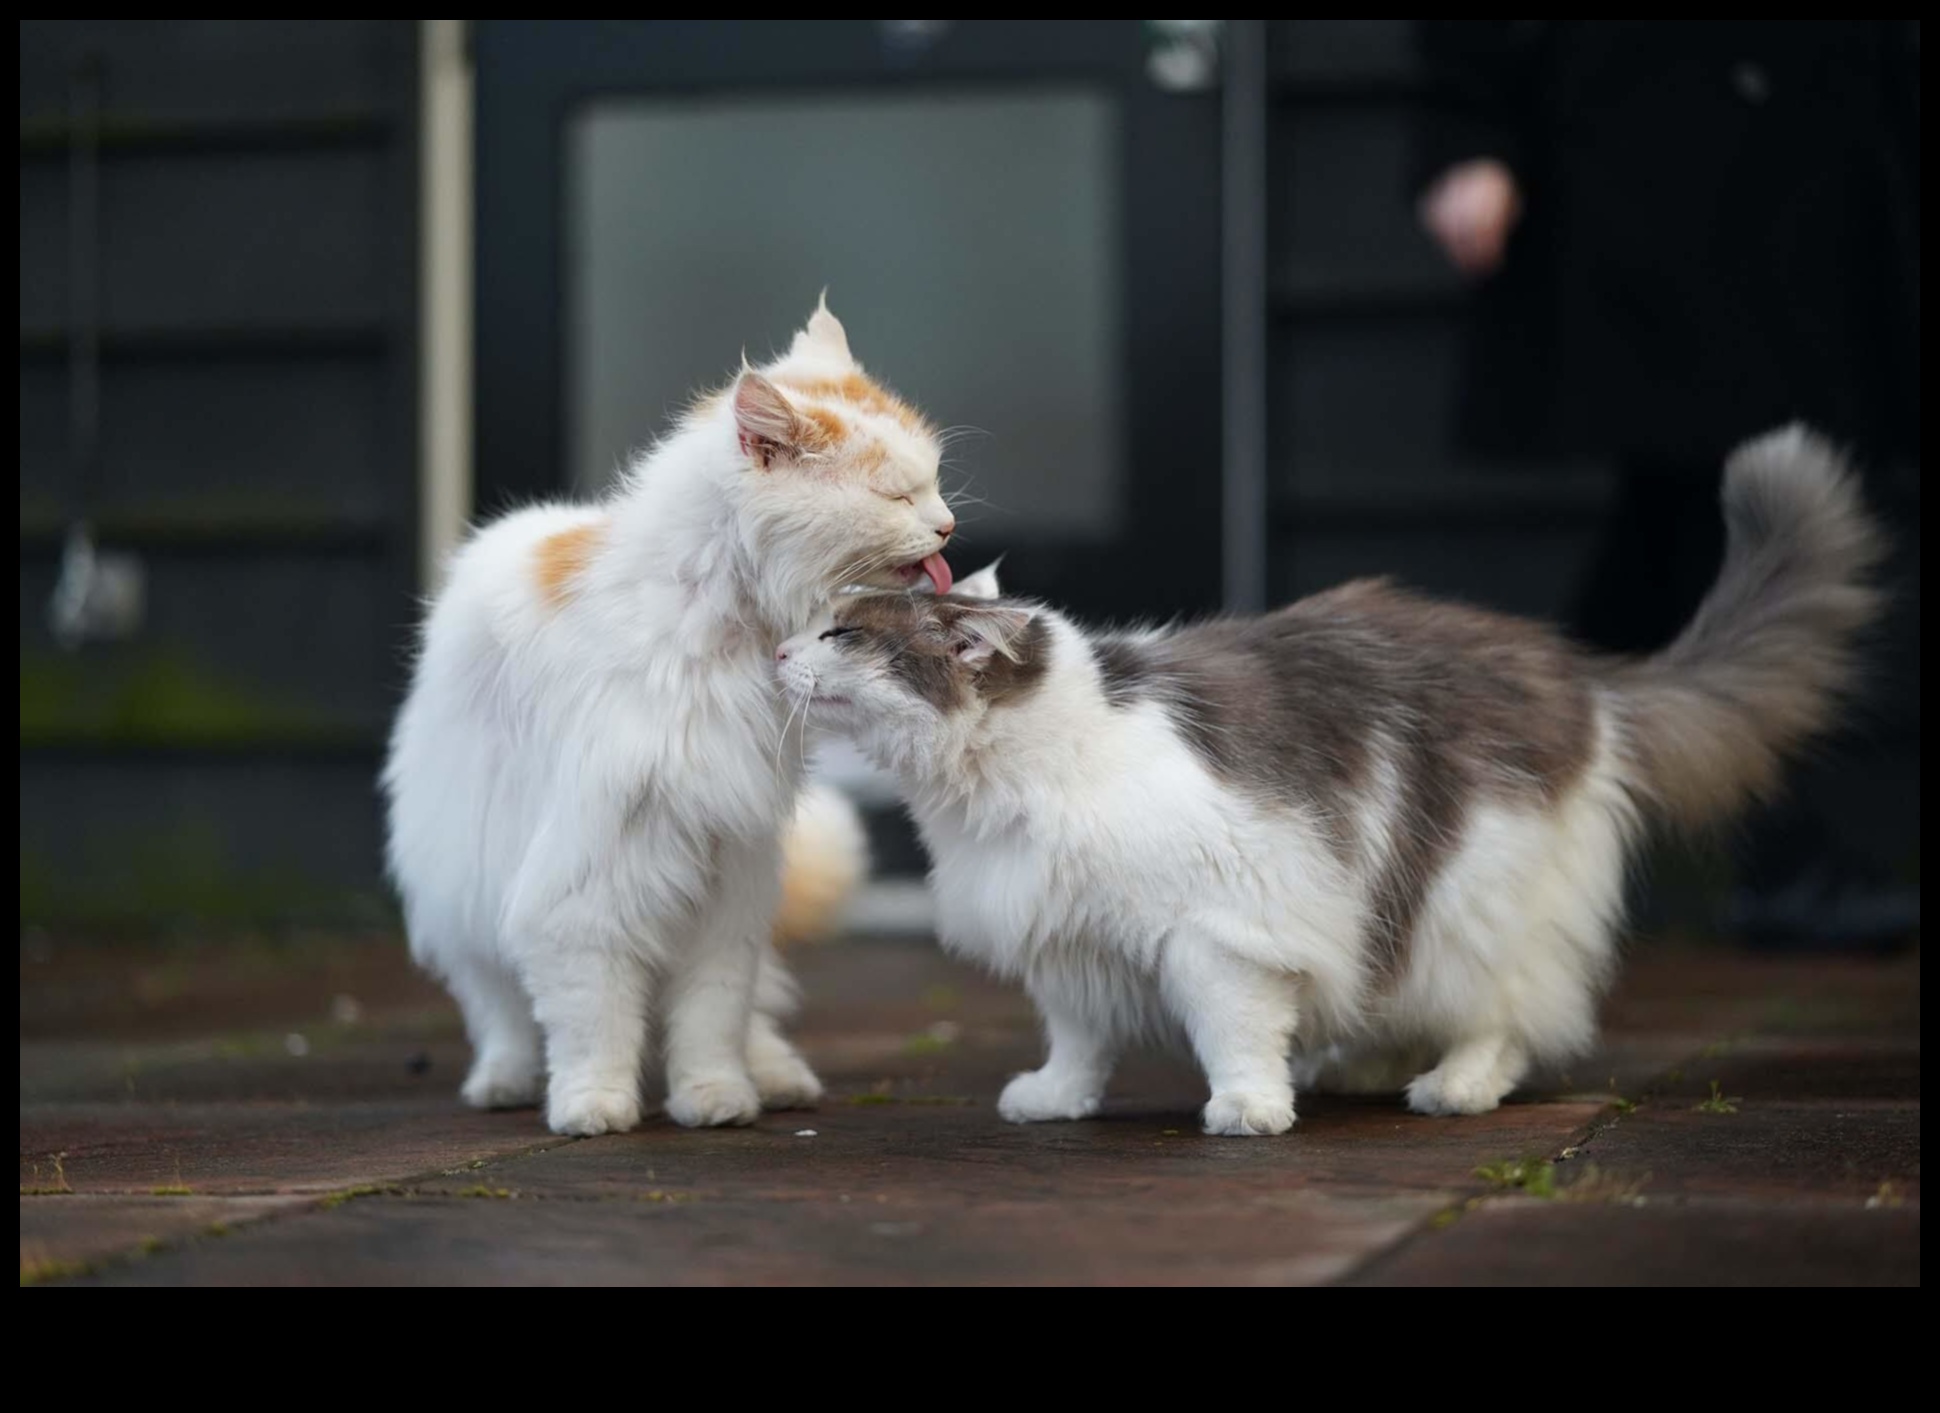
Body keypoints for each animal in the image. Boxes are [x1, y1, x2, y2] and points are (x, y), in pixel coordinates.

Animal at [384, 300, 946, 1133]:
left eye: (932, 482)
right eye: (897, 497)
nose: (947, 526)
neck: (724, 629)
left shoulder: (725, 885)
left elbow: (711, 1018)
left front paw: (715, 1098)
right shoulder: (581, 883)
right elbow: (593, 1020)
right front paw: (593, 1106)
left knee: (753, 1015)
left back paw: (776, 1076)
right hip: (470, 880)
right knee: (502, 1009)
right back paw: (505, 1081)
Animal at [772, 425, 1877, 1133]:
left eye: (839, 634)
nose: (775, 654)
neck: (1015, 778)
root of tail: (1578, 674)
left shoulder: (1217, 929)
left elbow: (1234, 1031)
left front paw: (1249, 1109)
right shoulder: (1069, 938)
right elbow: (1078, 1040)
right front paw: (1054, 1100)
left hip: (1469, 900)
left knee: (1506, 1016)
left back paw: (1450, 1087)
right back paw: (1358, 1066)